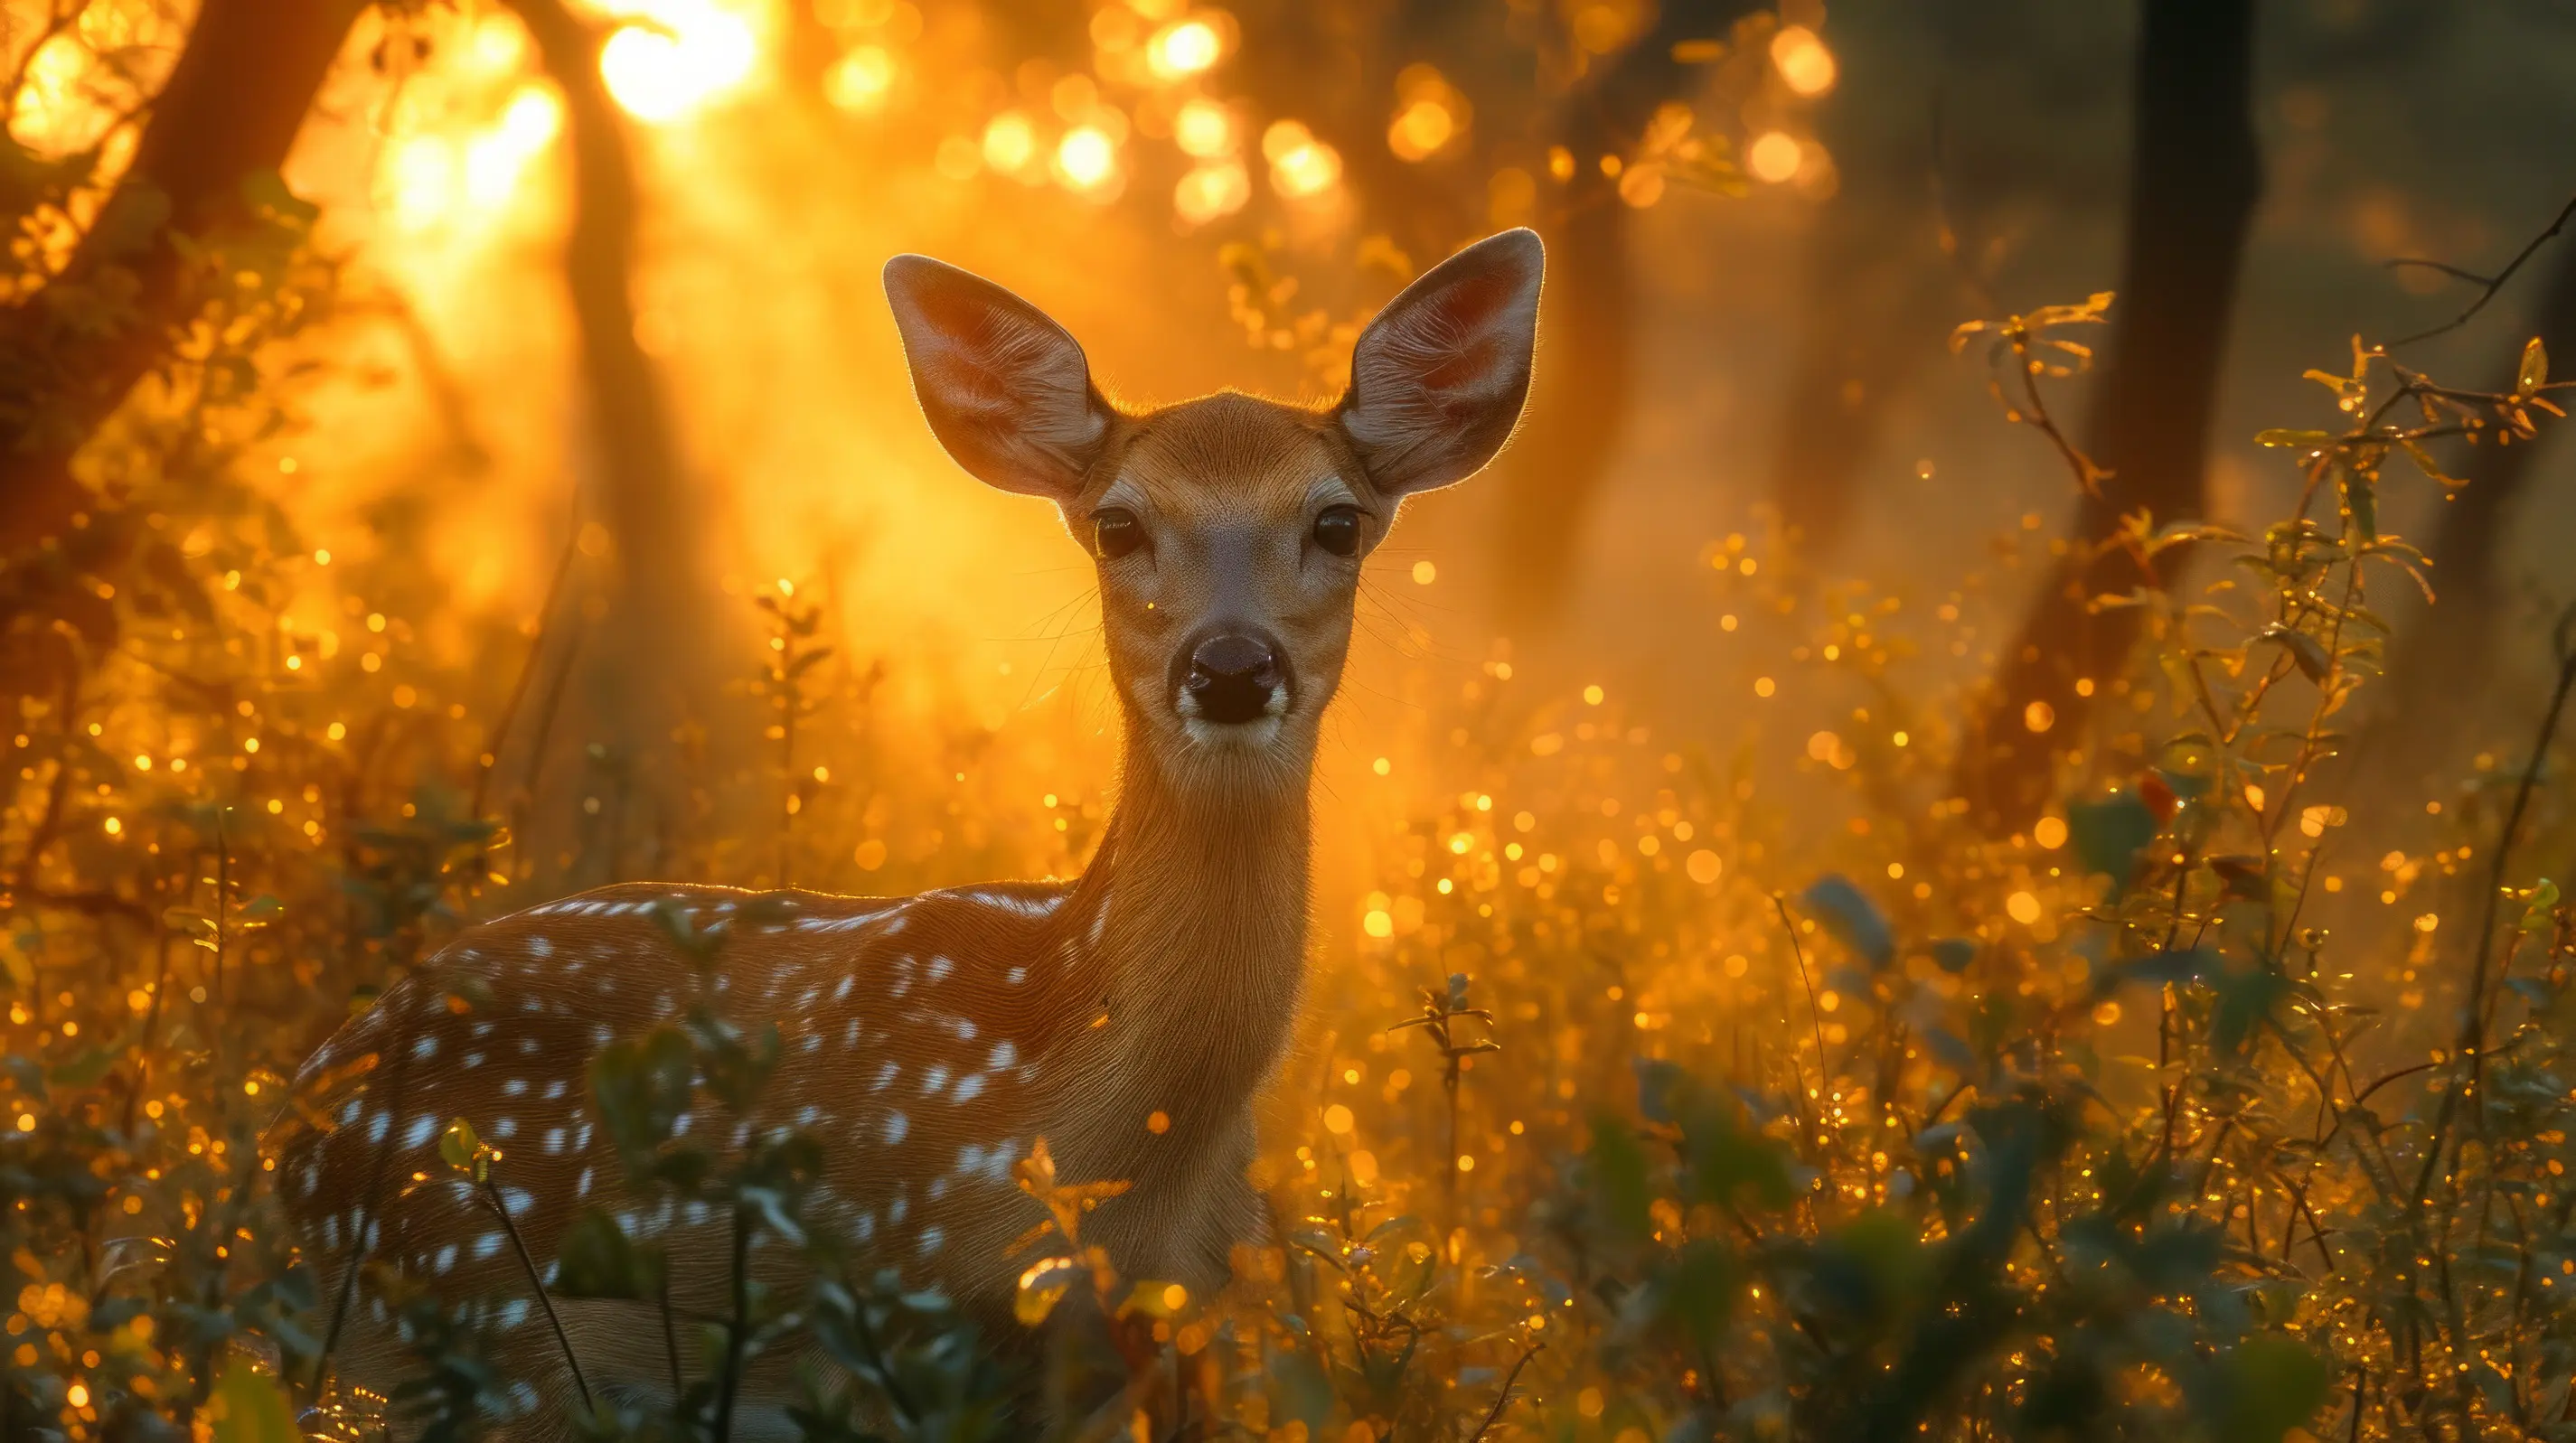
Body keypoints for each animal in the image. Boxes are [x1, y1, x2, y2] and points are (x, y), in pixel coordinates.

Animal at [271, 228, 1544, 1437]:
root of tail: (297, 1119)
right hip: (456, 1319)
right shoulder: (880, 1331)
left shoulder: (1174, 1341)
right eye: (1117, 524)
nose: (1231, 665)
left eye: (1337, 522)